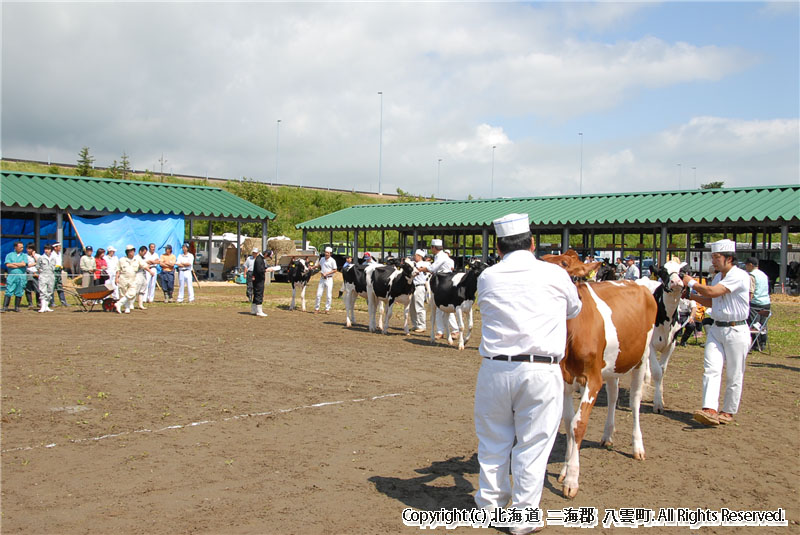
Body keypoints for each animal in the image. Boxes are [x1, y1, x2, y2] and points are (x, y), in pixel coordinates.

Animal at [540, 253, 660, 500]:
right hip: (614, 365)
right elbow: (568, 422)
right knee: (613, 395)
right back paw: (607, 436)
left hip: (642, 357)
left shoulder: (592, 379)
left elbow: (578, 424)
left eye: (564, 264)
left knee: (634, 401)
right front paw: (565, 469)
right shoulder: (566, 379)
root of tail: (637, 283)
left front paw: (572, 480)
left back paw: (638, 447)